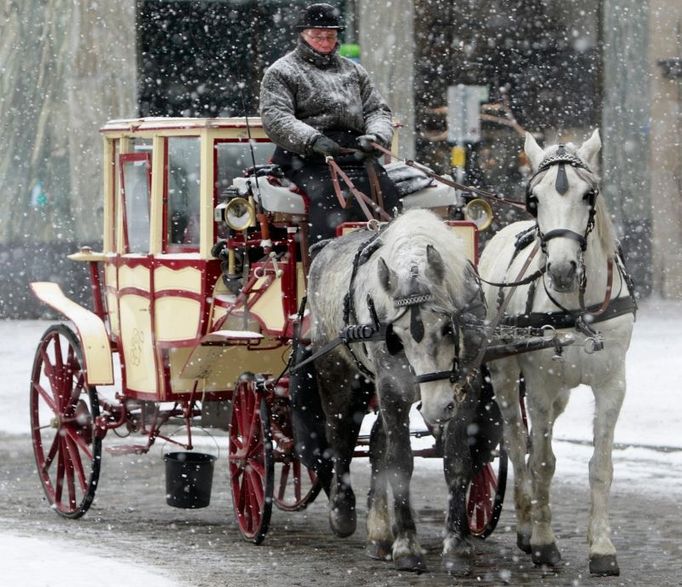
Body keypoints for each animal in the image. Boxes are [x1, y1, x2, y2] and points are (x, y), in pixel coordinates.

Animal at [476, 131, 636, 576]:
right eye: (534, 200)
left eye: (589, 195)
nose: (562, 270)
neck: (578, 310)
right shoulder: (541, 386)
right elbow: (543, 462)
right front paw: (545, 543)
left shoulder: (612, 383)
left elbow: (601, 466)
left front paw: (601, 548)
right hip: (506, 374)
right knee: (517, 441)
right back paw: (526, 527)